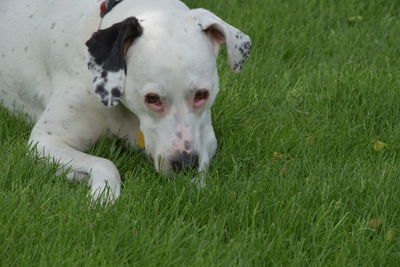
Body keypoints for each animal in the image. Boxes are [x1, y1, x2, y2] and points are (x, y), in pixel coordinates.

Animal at [0, 0, 250, 201]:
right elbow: (105, 163)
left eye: (201, 95)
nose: (184, 165)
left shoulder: (205, 135)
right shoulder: (46, 142)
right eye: (152, 98)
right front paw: (103, 196)